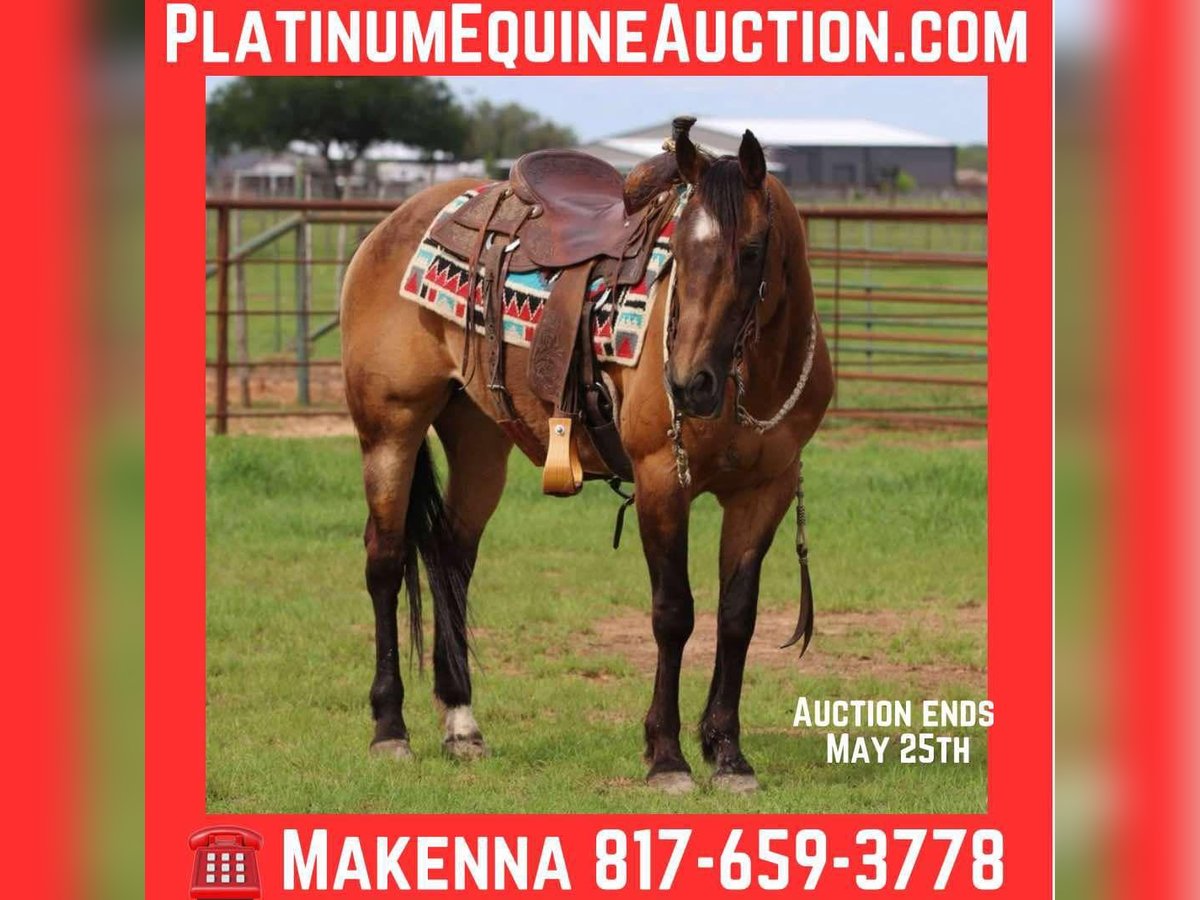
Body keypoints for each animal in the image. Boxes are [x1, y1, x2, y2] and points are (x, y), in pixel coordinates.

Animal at [339, 122, 833, 794]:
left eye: (753, 250)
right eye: (681, 253)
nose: (690, 384)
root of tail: (393, 224)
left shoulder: (766, 491)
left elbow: (737, 616)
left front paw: (728, 755)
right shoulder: (661, 480)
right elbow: (674, 613)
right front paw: (667, 757)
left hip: (478, 440)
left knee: (451, 558)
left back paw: (462, 723)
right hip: (390, 430)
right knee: (386, 562)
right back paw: (390, 729)